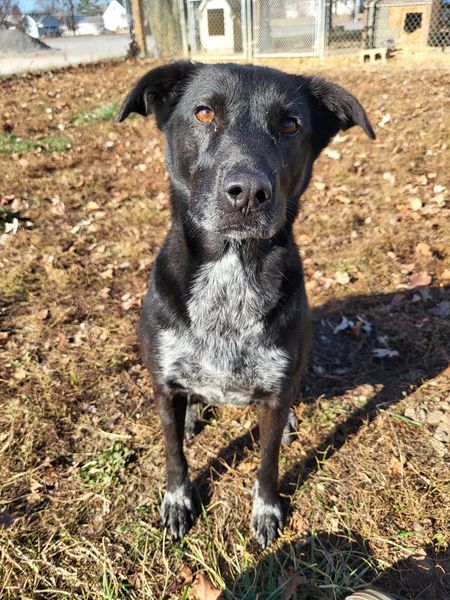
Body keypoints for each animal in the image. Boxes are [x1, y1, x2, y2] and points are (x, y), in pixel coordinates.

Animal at [118, 62, 374, 548]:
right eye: (203, 113)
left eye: (290, 124)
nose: (249, 193)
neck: (231, 267)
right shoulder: (162, 384)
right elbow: (174, 453)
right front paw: (178, 500)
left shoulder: (274, 393)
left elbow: (268, 462)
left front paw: (267, 509)